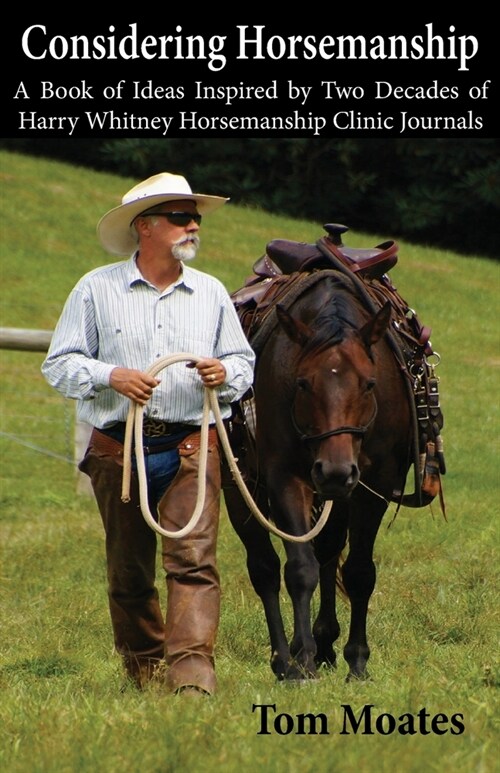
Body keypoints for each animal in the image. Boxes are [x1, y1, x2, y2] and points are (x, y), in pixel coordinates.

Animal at [225, 272, 412, 680]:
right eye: (302, 383)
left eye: (370, 383)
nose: (335, 471)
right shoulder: (286, 479)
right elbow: (299, 569)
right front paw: (302, 661)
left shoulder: (373, 487)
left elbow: (359, 572)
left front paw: (357, 662)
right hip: (240, 490)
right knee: (264, 569)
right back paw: (285, 658)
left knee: (327, 549)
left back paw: (325, 643)